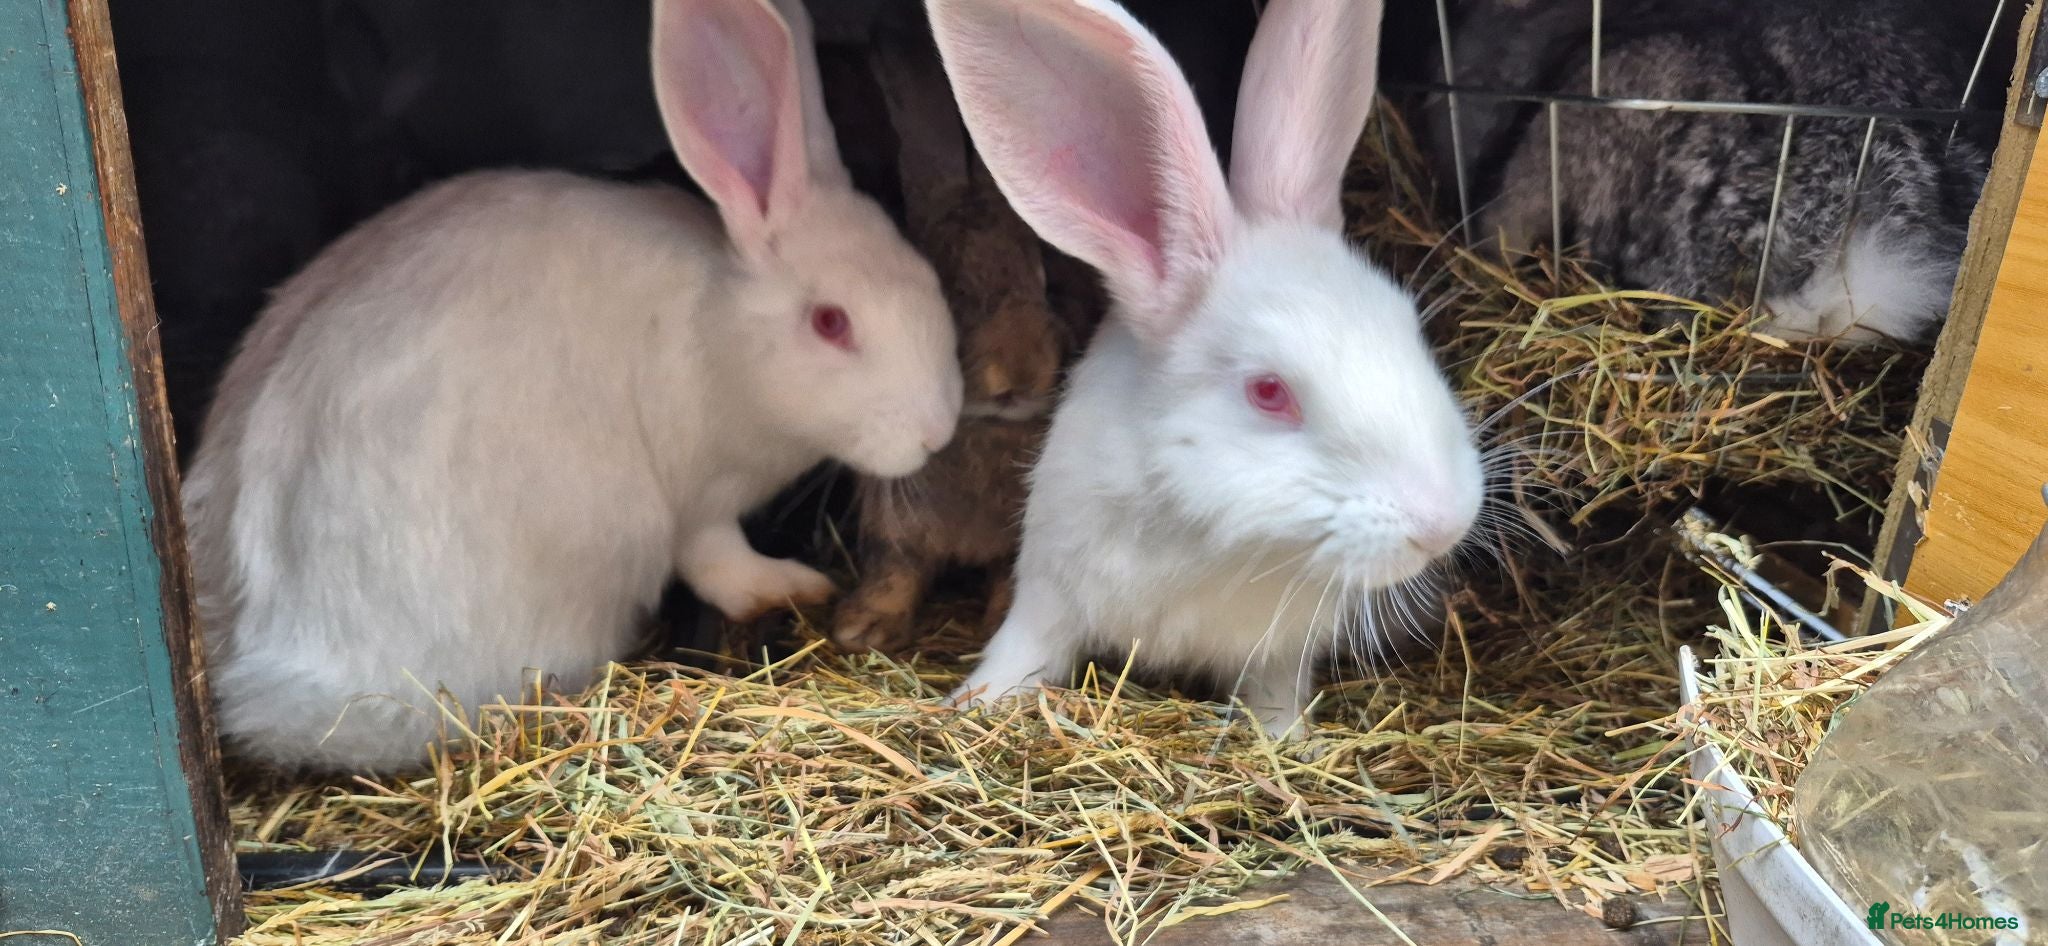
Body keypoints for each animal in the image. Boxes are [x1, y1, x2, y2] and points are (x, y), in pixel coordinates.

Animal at [182, 0, 962, 773]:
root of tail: (274, 681)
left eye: (926, 276)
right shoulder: (699, 501)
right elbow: (720, 561)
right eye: (831, 322)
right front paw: (795, 585)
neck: (719, 330)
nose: (939, 430)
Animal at [830, 4, 1071, 654]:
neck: (982, 428)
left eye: (1047, 277)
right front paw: (862, 628)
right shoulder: (893, 521)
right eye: (939, 288)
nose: (1019, 373)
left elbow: (1008, 574)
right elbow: (896, 570)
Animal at [929, 0, 1485, 738]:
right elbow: (1022, 653)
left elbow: (1274, 698)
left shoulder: (1278, 654)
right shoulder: (1048, 592)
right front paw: (971, 705)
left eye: (1409, 327)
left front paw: (1290, 742)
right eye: (1269, 391)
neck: (1216, 541)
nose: (1443, 523)